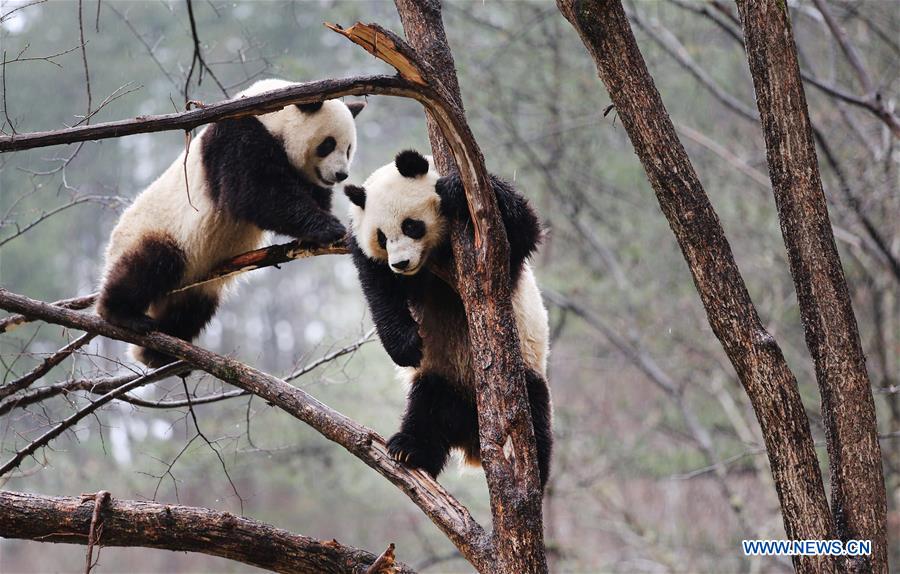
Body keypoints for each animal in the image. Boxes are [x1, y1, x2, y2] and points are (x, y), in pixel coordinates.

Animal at [97, 78, 365, 367]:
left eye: (349, 149)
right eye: (328, 144)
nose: (341, 174)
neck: (271, 116)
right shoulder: (237, 136)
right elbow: (254, 192)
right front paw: (329, 228)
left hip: (199, 283)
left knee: (191, 307)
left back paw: (158, 353)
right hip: (155, 231)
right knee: (150, 263)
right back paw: (121, 314)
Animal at [344, 149, 553, 488]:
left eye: (411, 226)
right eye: (382, 237)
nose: (401, 263)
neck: (435, 255)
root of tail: (472, 440)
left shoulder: (493, 249)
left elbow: (520, 228)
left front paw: (455, 189)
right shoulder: (369, 256)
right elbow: (380, 290)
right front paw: (406, 347)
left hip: (524, 375)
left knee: (535, 417)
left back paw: (535, 475)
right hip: (441, 378)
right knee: (426, 411)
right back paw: (410, 449)